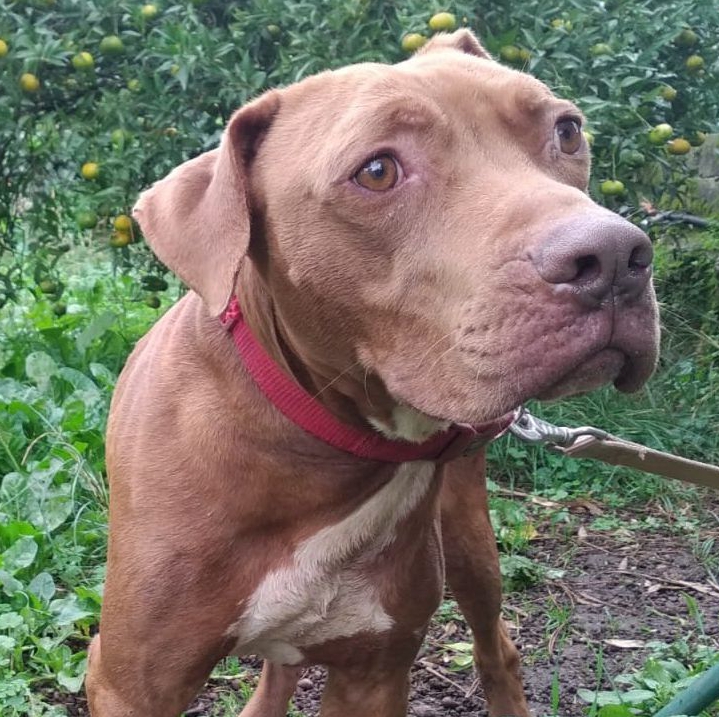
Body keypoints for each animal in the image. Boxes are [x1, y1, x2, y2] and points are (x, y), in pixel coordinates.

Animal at [85, 29, 659, 717]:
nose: (615, 256)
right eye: (378, 170)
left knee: (496, 646)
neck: (328, 450)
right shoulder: (131, 682)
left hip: (469, 540)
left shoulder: (377, 672)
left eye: (567, 130)